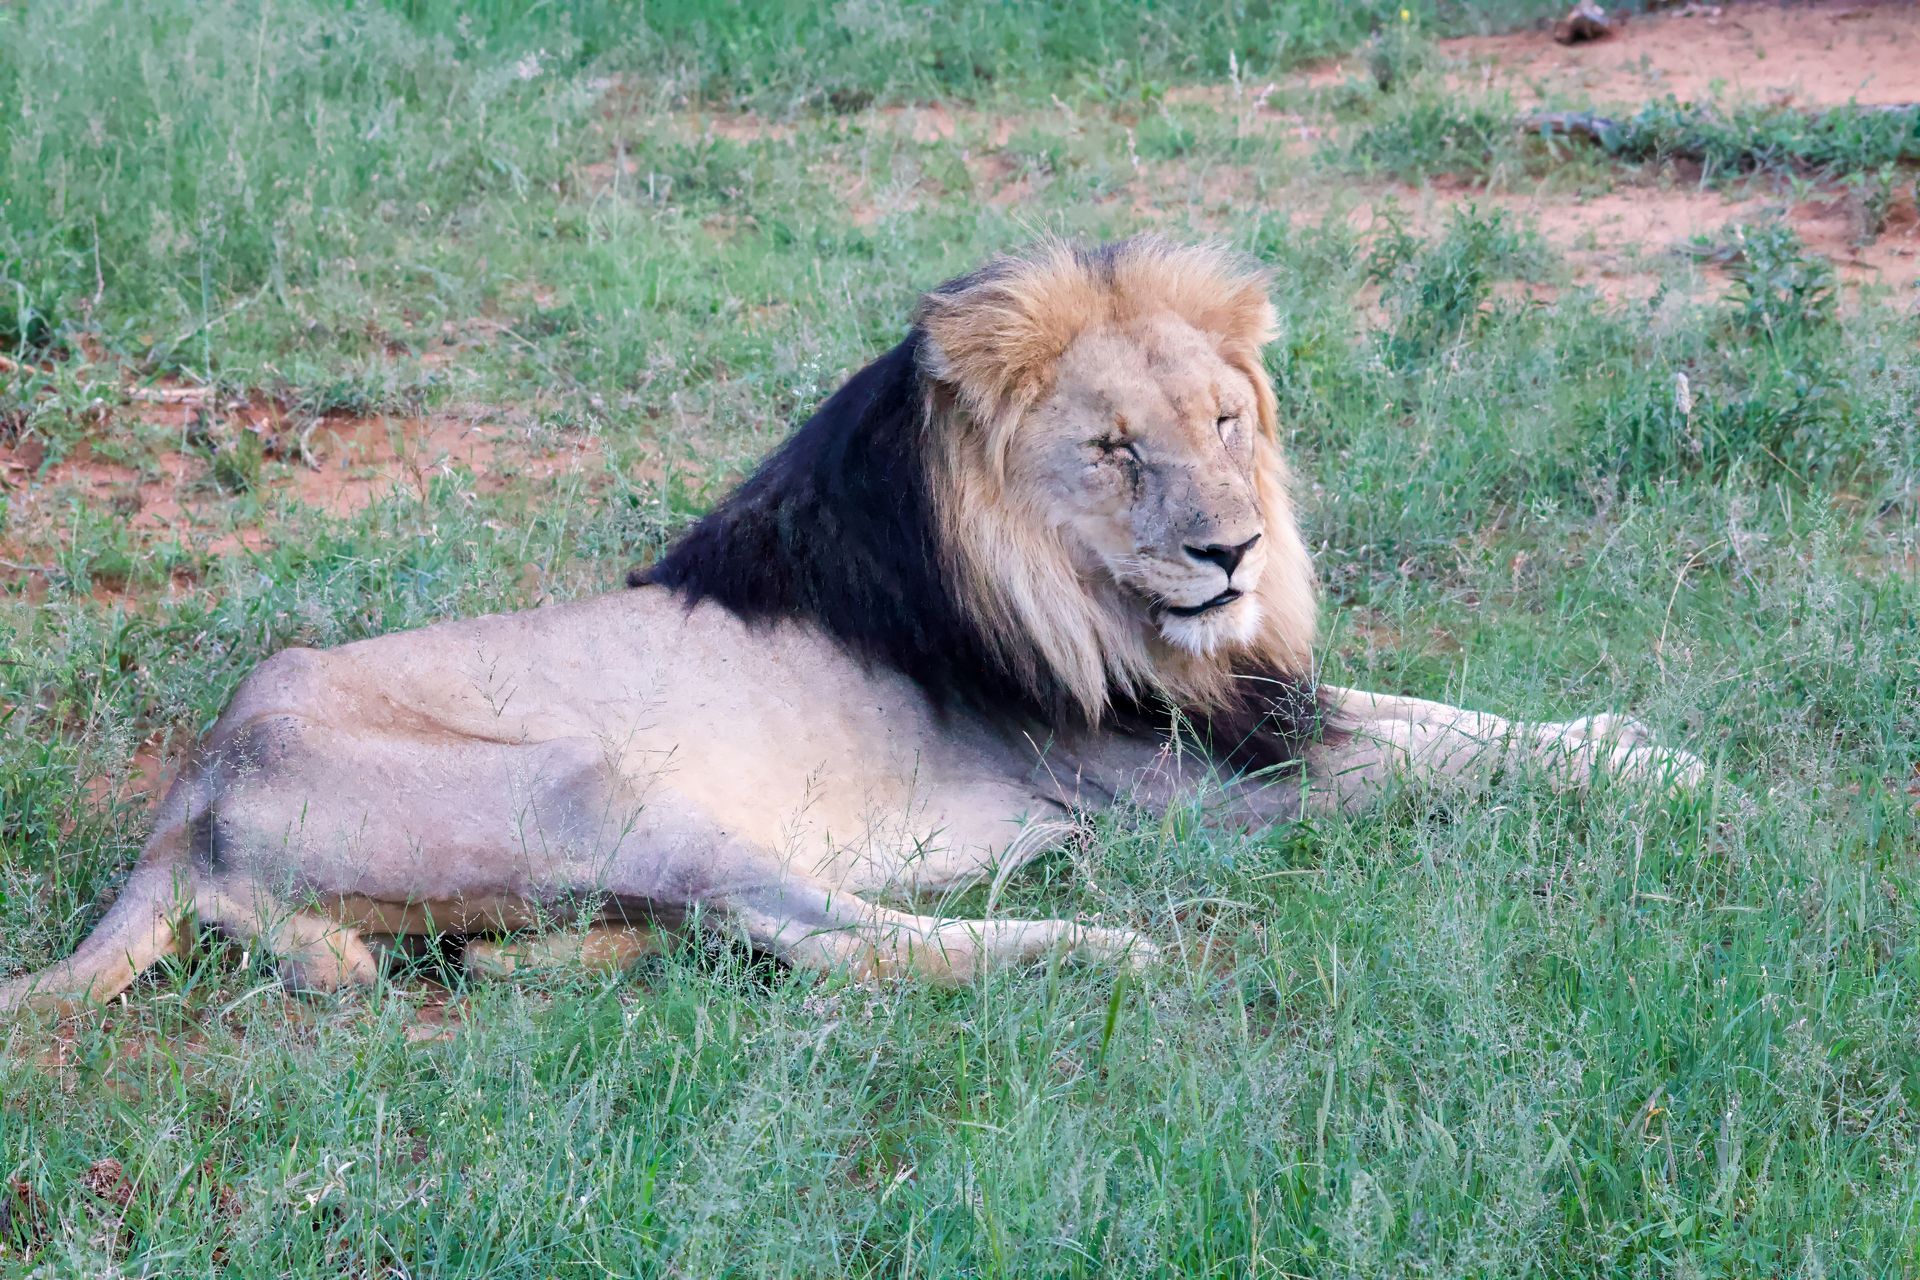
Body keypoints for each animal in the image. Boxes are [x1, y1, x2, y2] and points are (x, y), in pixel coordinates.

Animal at [0, 236, 1702, 1014]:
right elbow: (1440, 765)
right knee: (822, 938)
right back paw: (1085, 941)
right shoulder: (1180, 792)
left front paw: (1633, 736)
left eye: (1225, 422)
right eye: (1115, 451)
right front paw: (1665, 775)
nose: (1229, 551)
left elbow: (1452, 721)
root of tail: (191, 795)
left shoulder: (1253, 709)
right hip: (605, 791)